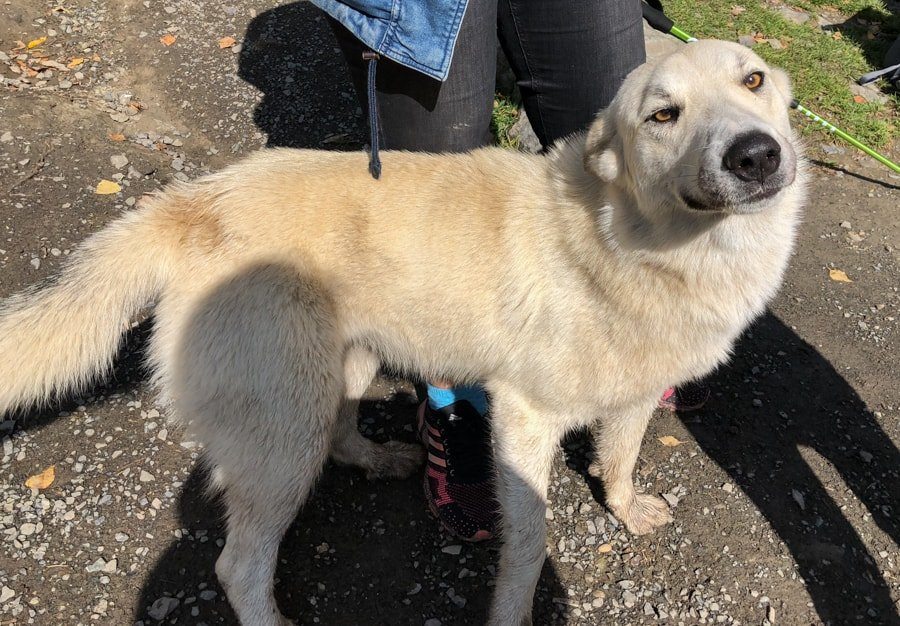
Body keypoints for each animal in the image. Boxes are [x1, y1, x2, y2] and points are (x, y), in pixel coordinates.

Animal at [0, 41, 800, 620]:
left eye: (754, 80)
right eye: (664, 115)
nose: (756, 154)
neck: (633, 238)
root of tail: (193, 202)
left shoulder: (634, 397)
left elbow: (622, 459)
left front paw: (627, 510)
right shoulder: (525, 422)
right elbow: (530, 546)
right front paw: (514, 613)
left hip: (342, 367)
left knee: (342, 431)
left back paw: (379, 457)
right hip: (283, 431)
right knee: (238, 564)